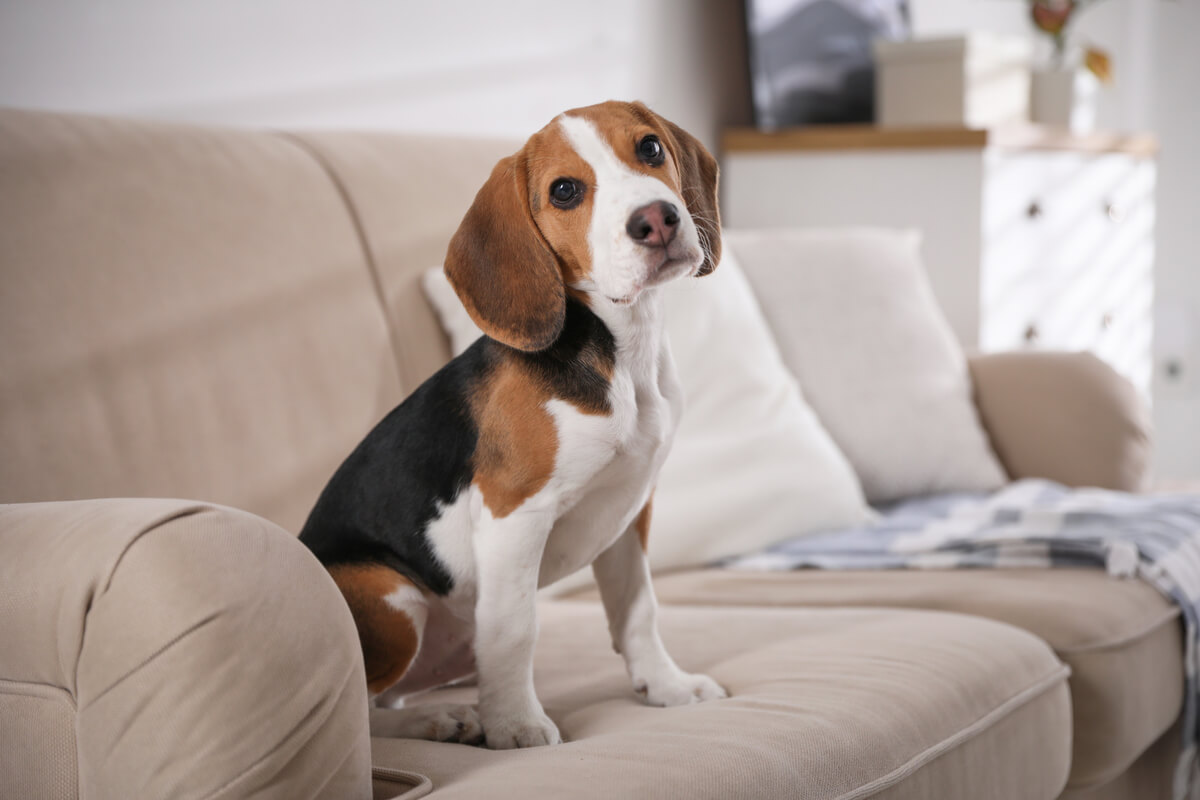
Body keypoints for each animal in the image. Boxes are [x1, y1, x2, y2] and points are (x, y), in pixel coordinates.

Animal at [304, 100, 724, 753]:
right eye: (565, 191)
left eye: (650, 148)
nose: (656, 219)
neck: (622, 355)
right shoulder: (514, 514)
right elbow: (513, 631)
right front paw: (516, 726)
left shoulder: (629, 510)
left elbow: (638, 609)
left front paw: (666, 686)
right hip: (389, 601)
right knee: (364, 714)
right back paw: (442, 720)